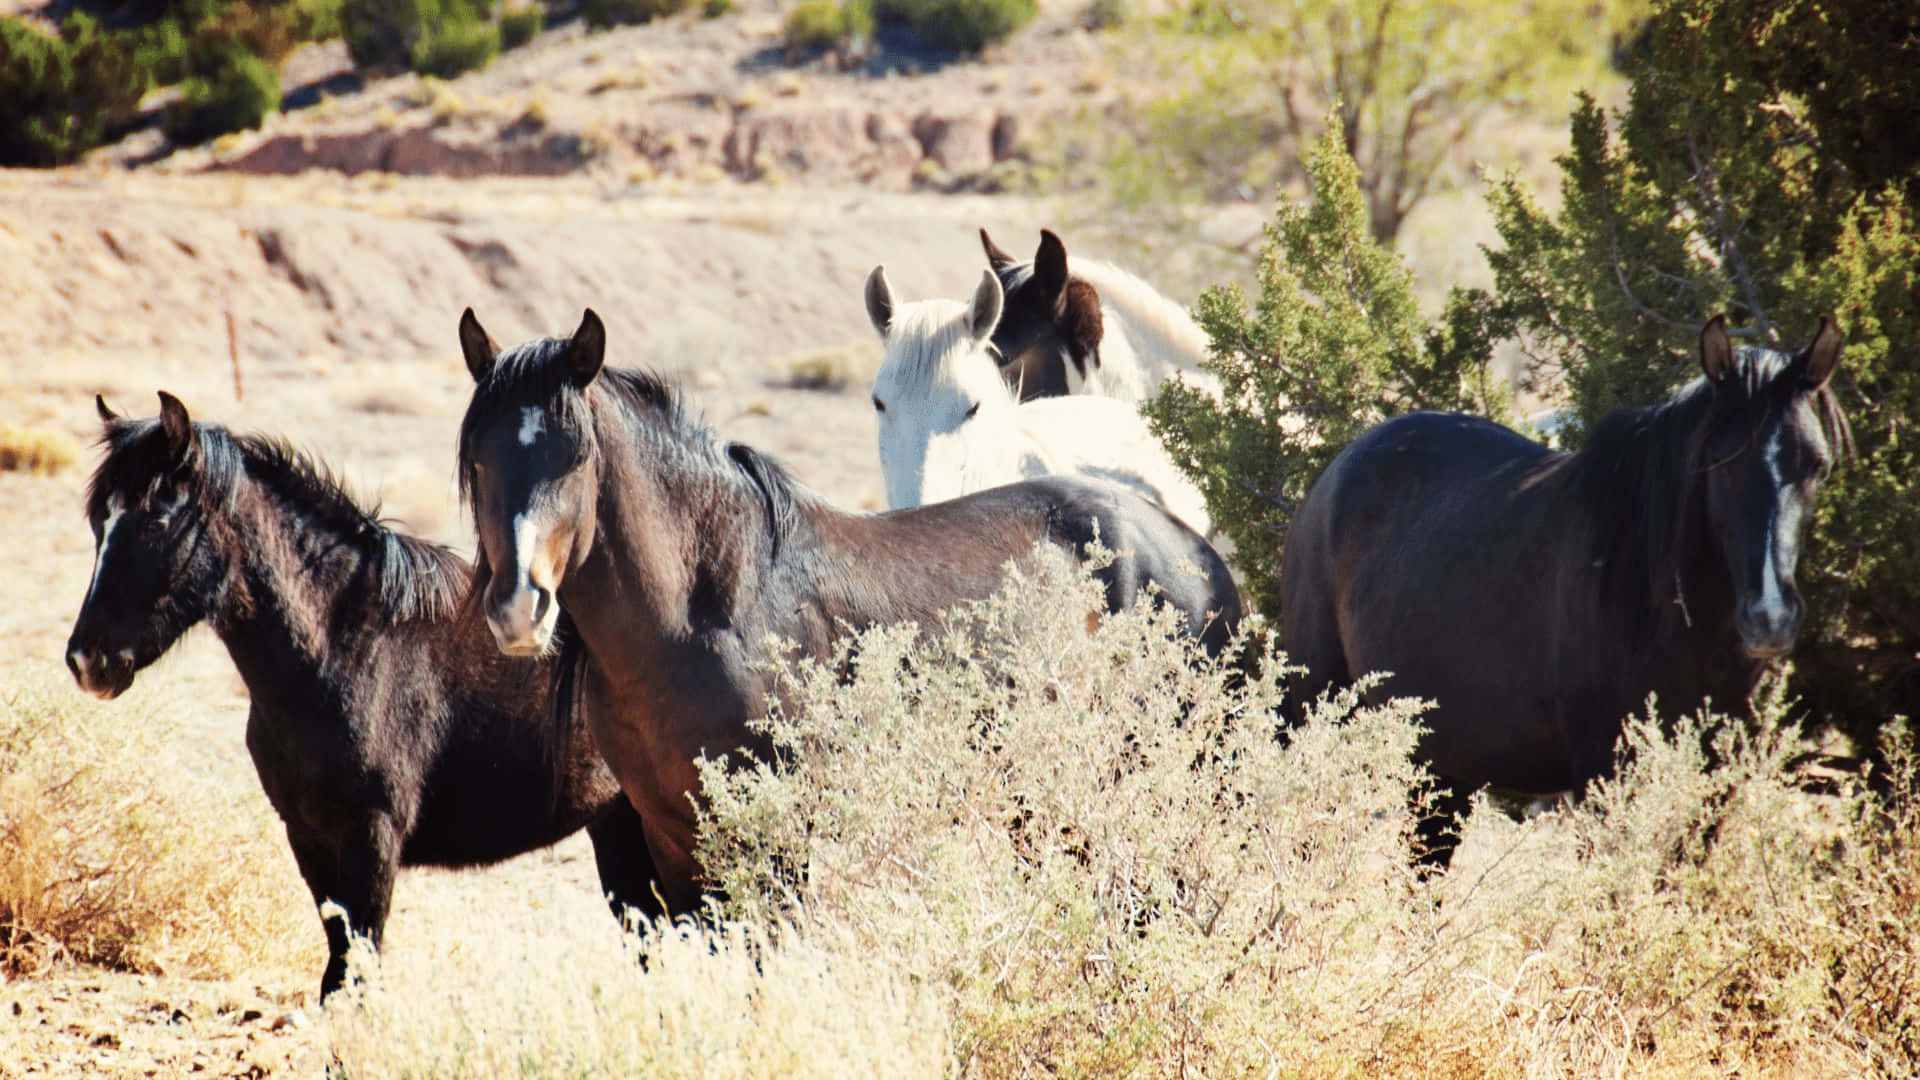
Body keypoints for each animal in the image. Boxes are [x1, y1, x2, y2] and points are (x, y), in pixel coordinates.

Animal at [64, 393, 660, 1001]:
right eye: (98, 521)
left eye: (158, 520)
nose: (87, 661)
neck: (345, 649)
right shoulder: (308, 837)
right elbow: (339, 967)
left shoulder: (371, 838)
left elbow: (355, 970)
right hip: (619, 827)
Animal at [455, 308, 1243, 917]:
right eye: (481, 462)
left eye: (576, 458)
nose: (520, 608)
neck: (712, 611)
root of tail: (1194, 551)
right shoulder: (675, 843)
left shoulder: (772, 840)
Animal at [1281, 315, 1850, 865]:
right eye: (1721, 463)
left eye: (1817, 465)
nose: (1770, 619)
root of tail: (1335, 471)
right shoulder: (1605, 774)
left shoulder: (1714, 781)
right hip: (1312, 715)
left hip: (1443, 765)